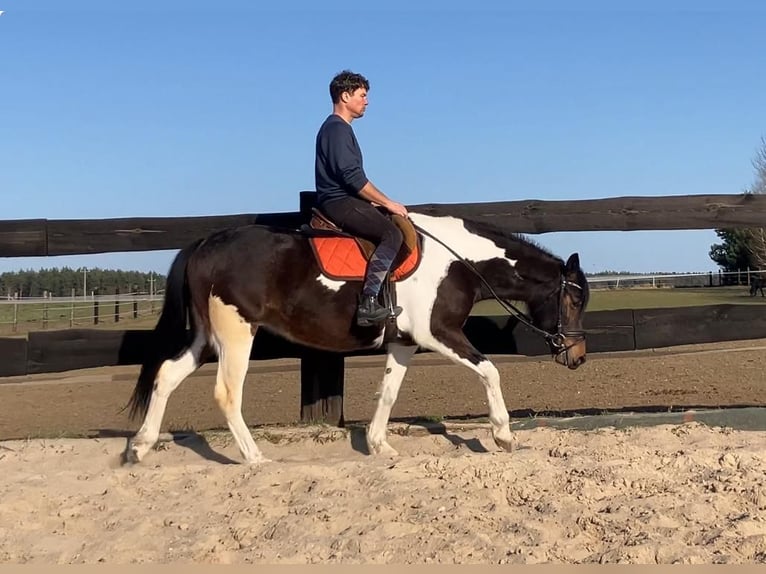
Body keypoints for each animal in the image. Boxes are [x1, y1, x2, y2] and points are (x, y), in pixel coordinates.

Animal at [124, 210, 590, 464]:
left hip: (206, 338)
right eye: (573, 300)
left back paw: (139, 448)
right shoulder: (438, 333)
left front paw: (379, 445)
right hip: (236, 333)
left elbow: (389, 392)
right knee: (226, 393)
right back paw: (255, 457)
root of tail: (204, 243)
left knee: (166, 375)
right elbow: (490, 371)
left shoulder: (404, 342)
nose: (579, 355)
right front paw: (504, 436)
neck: (460, 263)